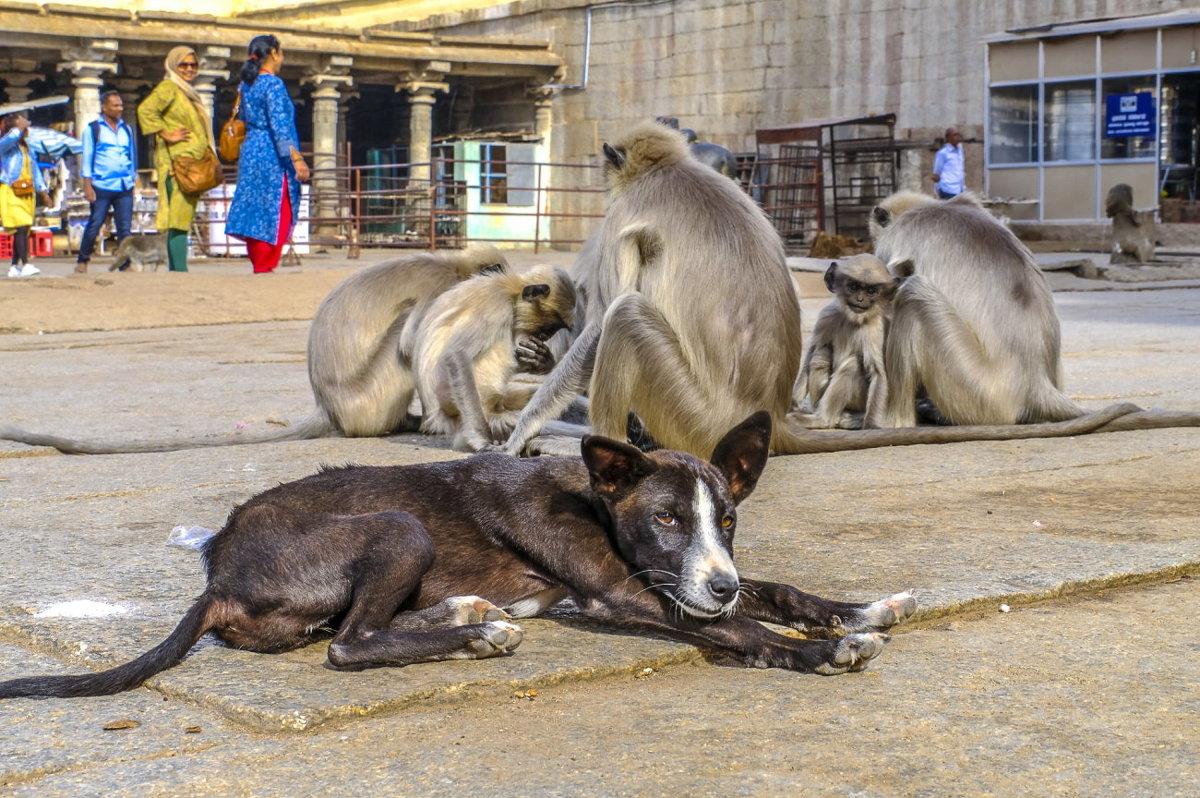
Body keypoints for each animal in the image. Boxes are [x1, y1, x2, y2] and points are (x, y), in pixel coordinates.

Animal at [0, 246, 508, 451]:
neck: (454, 269)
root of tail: (330, 409)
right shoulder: (441, 291)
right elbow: (424, 348)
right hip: (372, 395)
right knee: (403, 335)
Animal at [0, 410, 912, 696]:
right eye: (664, 519)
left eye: (727, 521)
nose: (718, 581)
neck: (591, 498)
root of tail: (216, 568)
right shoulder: (627, 592)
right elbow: (743, 631)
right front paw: (825, 650)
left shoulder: (684, 583)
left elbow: (779, 590)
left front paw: (861, 608)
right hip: (401, 527)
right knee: (349, 644)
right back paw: (476, 632)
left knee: (362, 627)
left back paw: (468, 613)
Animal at [412, 261, 576, 448]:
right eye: (549, 328)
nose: (545, 337)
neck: (510, 291)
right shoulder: (497, 306)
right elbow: (457, 354)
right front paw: (482, 437)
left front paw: (542, 362)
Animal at [792, 255, 897, 429]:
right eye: (853, 287)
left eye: (871, 291)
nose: (860, 299)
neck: (853, 319)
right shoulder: (827, 316)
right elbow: (810, 354)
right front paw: (793, 403)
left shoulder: (874, 331)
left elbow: (878, 374)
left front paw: (871, 425)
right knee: (821, 354)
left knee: (852, 365)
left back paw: (824, 419)